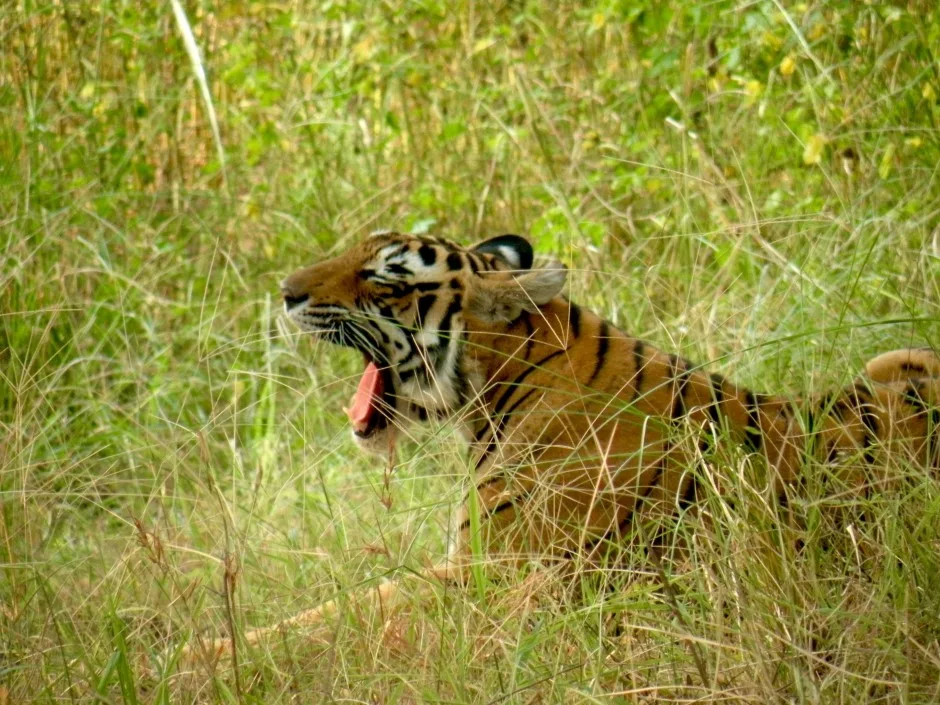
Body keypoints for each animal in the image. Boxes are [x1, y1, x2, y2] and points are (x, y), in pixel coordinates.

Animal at [186, 230, 940, 659]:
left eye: (383, 275)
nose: (285, 292)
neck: (498, 387)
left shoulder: (495, 578)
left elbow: (335, 618)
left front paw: (196, 657)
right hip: (897, 361)